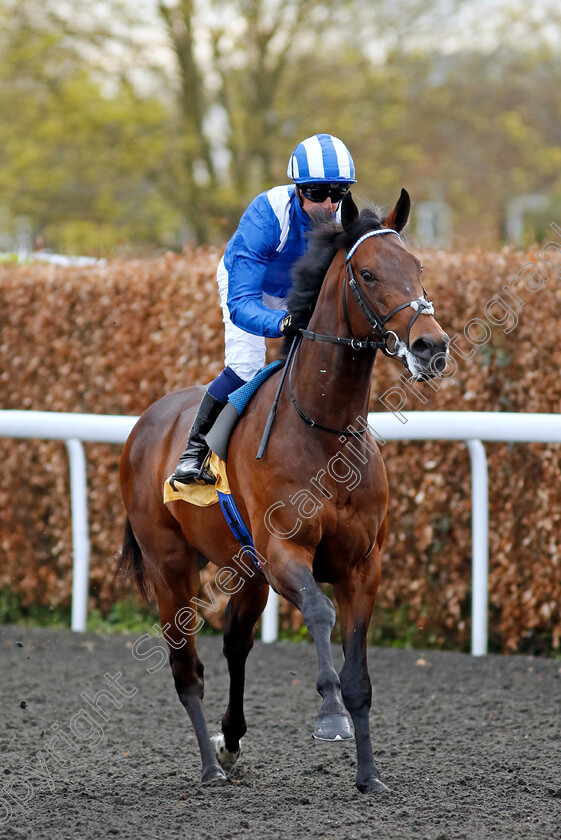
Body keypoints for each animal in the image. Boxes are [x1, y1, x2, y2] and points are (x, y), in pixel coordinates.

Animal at [119, 190, 450, 796]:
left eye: (417, 267)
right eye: (368, 273)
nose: (430, 346)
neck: (324, 429)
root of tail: (146, 423)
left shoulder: (363, 565)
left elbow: (359, 669)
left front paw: (369, 775)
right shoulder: (283, 553)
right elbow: (320, 613)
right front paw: (330, 716)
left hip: (243, 568)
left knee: (235, 644)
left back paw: (229, 743)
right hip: (170, 566)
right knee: (187, 667)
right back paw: (209, 766)